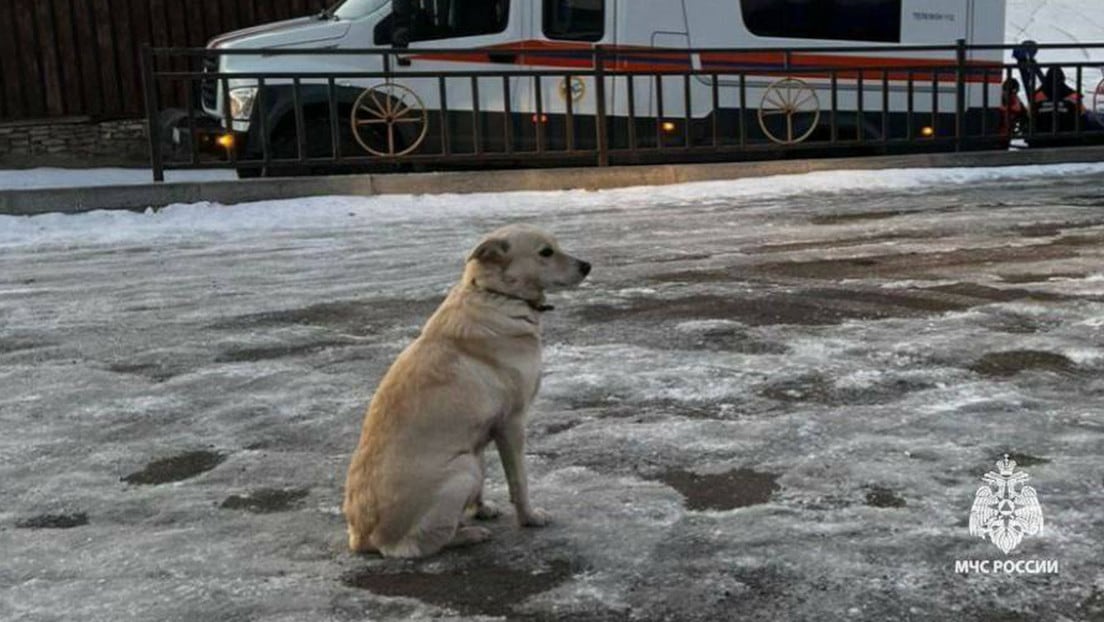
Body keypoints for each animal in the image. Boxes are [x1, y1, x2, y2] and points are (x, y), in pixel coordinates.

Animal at [344, 224, 591, 559]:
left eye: (556, 246)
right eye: (546, 252)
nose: (587, 266)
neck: (497, 295)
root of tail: (362, 537)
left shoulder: (482, 432)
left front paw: (481, 508)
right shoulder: (512, 423)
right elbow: (519, 482)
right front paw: (528, 517)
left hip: (469, 459)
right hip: (463, 468)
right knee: (418, 544)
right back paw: (469, 535)